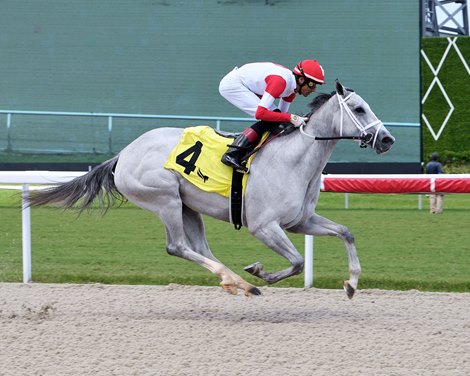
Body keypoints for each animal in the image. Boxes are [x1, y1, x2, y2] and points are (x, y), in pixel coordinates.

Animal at [28, 82, 392, 300]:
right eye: (359, 109)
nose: (387, 139)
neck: (294, 159)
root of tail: (123, 154)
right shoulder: (264, 226)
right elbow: (299, 262)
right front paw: (260, 271)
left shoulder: (300, 221)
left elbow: (345, 232)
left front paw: (351, 283)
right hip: (165, 200)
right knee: (177, 246)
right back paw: (242, 281)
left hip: (188, 206)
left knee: (201, 248)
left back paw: (236, 282)